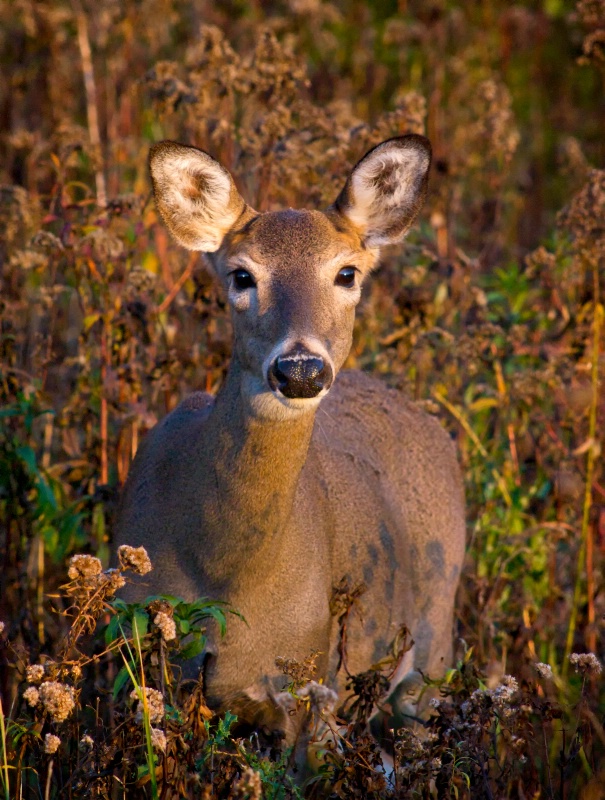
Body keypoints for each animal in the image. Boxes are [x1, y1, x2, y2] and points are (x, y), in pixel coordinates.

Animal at [115, 131, 464, 752]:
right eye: (241, 276)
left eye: (347, 273)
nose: (300, 368)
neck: (226, 575)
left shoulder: (309, 682)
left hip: (431, 654)